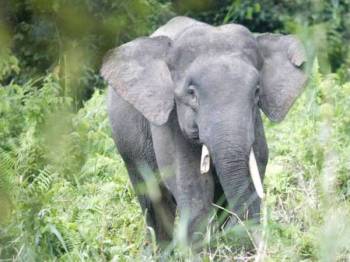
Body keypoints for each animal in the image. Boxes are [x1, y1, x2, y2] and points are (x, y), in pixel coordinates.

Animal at [100, 15, 306, 246]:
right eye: (191, 93)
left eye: (256, 91)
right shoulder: (169, 121)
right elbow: (191, 186)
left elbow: (258, 165)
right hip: (127, 145)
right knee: (153, 197)